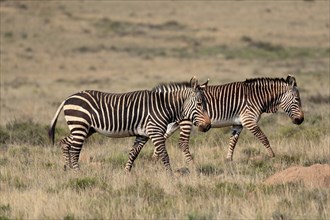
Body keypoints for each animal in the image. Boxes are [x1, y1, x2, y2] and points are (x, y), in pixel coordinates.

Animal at [47, 77, 210, 174]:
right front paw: (170, 176)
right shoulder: (155, 131)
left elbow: (133, 153)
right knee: (75, 150)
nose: (208, 126)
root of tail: (68, 98)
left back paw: (66, 169)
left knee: (65, 142)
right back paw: (77, 173)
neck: (162, 106)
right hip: (80, 125)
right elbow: (164, 154)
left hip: (85, 128)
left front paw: (126, 173)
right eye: (199, 104)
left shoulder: (143, 134)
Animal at [162, 75, 304, 162]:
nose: (301, 120)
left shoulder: (238, 124)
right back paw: (190, 163)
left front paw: (228, 160)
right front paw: (272, 155)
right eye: (297, 100)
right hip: (186, 121)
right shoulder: (249, 120)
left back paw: (157, 163)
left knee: (162, 138)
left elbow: (233, 142)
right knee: (182, 143)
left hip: (173, 124)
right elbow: (263, 137)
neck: (257, 97)